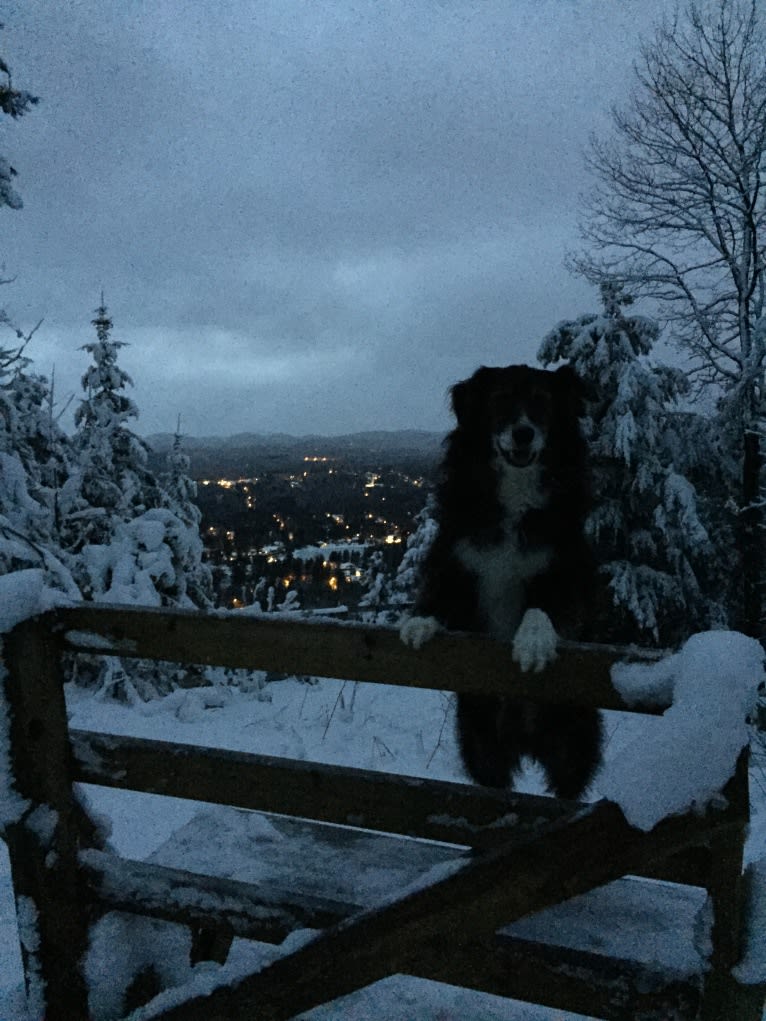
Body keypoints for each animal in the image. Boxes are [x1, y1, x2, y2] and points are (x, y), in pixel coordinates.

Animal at [398, 363, 604, 800]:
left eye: (542, 402)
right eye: (500, 400)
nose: (523, 432)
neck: (514, 496)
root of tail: (524, 738)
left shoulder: (570, 570)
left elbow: (549, 607)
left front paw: (533, 641)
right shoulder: (454, 557)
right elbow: (438, 594)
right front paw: (419, 622)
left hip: (571, 745)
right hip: (481, 745)